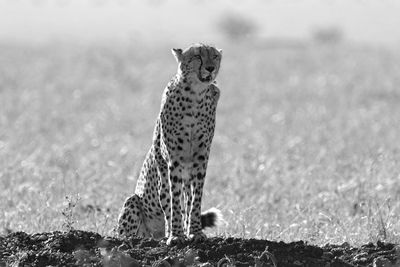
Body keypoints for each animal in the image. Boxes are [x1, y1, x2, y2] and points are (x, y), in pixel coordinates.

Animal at [117, 44, 223, 247]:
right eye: (197, 56)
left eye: (215, 56)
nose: (210, 68)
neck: (195, 95)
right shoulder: (173, 160)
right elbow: (173, 200)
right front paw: (176, 235)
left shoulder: (200, 159)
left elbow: (194, 199)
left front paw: (195, 232)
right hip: (133, 202)